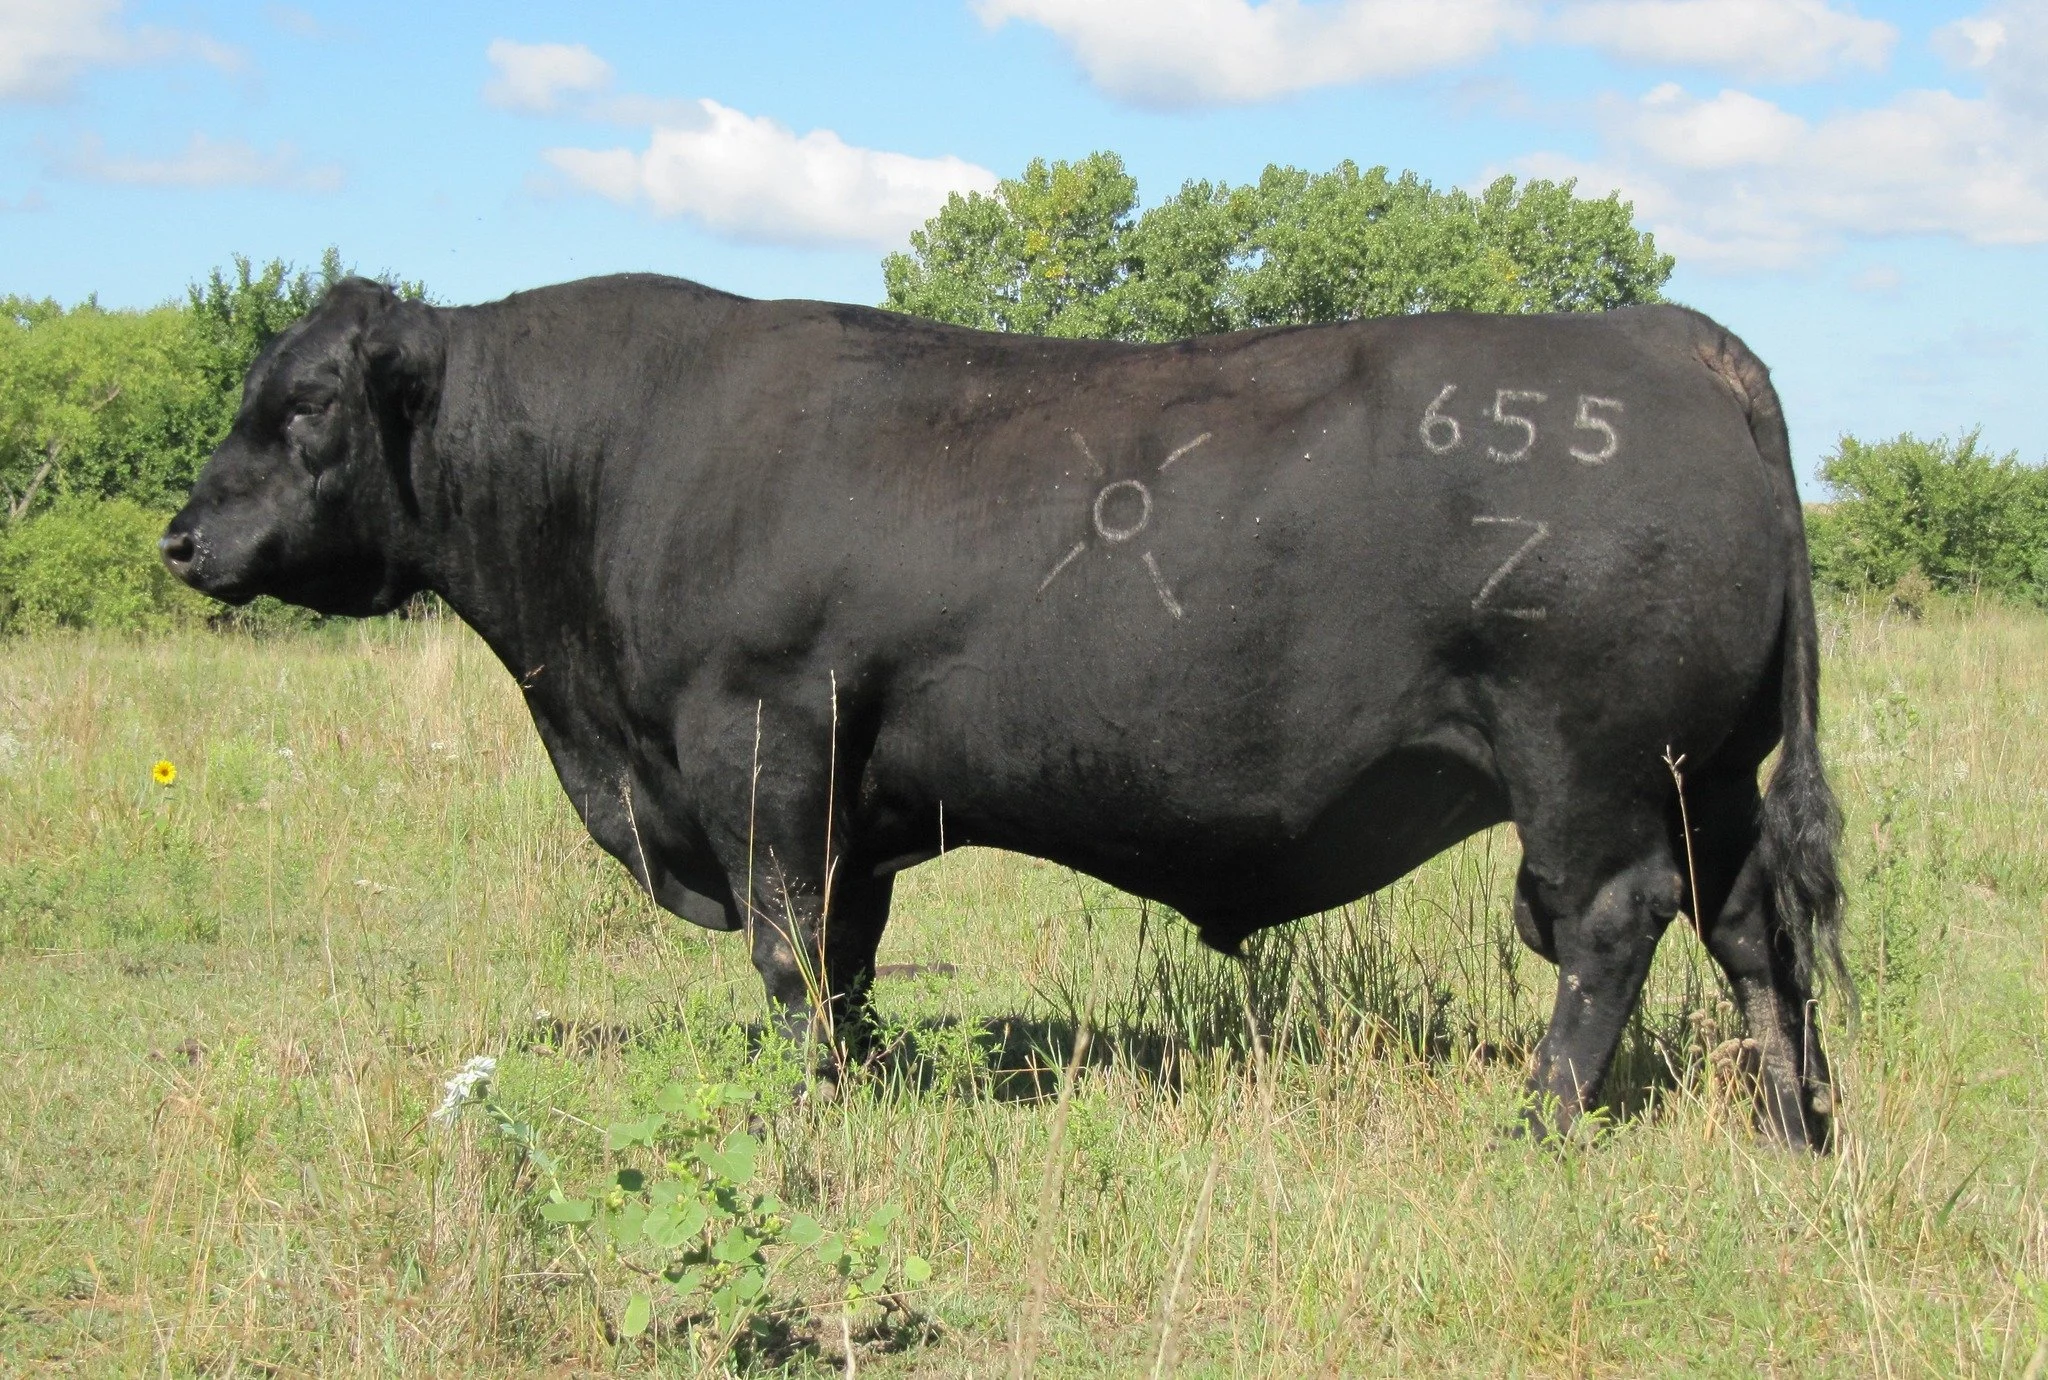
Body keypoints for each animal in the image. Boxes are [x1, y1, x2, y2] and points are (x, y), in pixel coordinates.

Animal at [162, 274, 1846, 1149]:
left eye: (302, 406)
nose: (181, 539)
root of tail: (1663, 332)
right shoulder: (849, 796)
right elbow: (842, 955)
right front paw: (858, 1079)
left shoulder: (759, 737)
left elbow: (786, 946)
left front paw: (807, 1114)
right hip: (1712, 771)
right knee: (1753, 930)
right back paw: (1795, 1125)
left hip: (1592, 765)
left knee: (1608, 926)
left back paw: (1541, 1123)